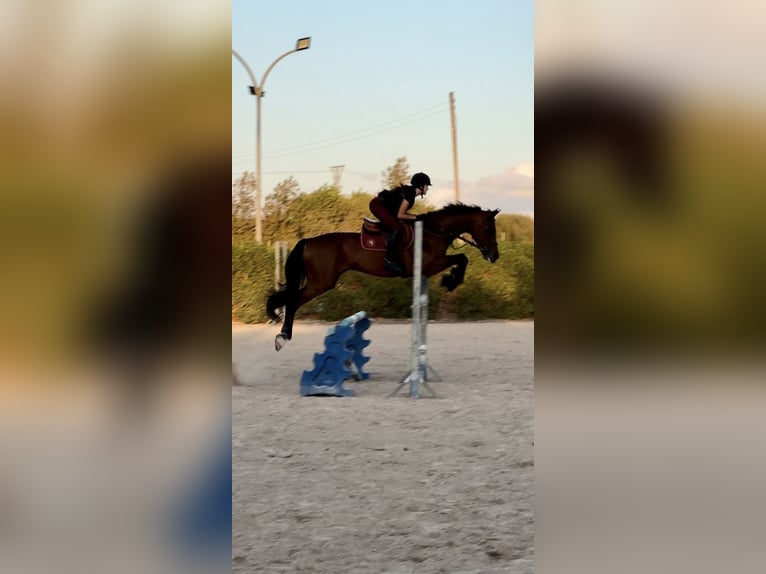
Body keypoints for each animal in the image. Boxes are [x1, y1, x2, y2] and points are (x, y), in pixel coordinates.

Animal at [266, 203, 501, 351]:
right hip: (321, 283)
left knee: (287, 298)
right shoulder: (429, 265)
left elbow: (461, 258)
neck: (434, 231)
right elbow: (461, 258)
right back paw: (283, 337)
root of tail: (309, 242)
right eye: (490, 229)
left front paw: (451, 279)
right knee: (293, 301)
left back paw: (275, 318)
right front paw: (451, 280)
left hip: (321, 282)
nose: (494, 255)